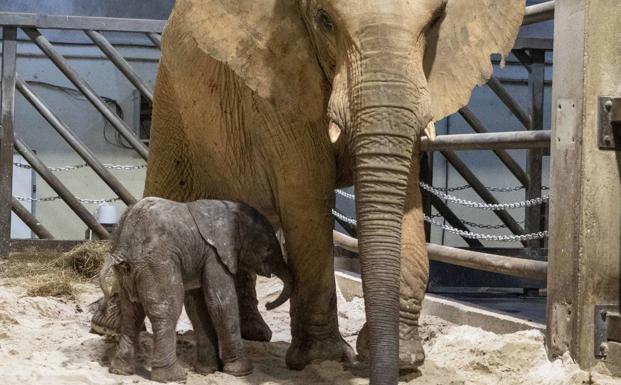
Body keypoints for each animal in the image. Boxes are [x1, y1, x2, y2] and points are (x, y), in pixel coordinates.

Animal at [98, 196, 292, 382]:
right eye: (268, 249)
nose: (267, 305)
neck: (230, 210)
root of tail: (123, 247)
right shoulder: (215, 256)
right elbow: (221, 302)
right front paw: (242, 372)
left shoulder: (199, 257)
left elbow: (198, 306)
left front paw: (208, 371)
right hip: (156, 264)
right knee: (167, 311)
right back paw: (173, 377)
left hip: (127, 271)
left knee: (131, 313)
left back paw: (120, 370)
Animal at [143, 1, 520, 382]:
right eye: (324, 20)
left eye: (436, 21)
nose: (378, 366)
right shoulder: (279, 82)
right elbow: (307, 197)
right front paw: (321, 359)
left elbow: (406, 201)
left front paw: (405, 360)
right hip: (171, 105)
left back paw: (255, 334)